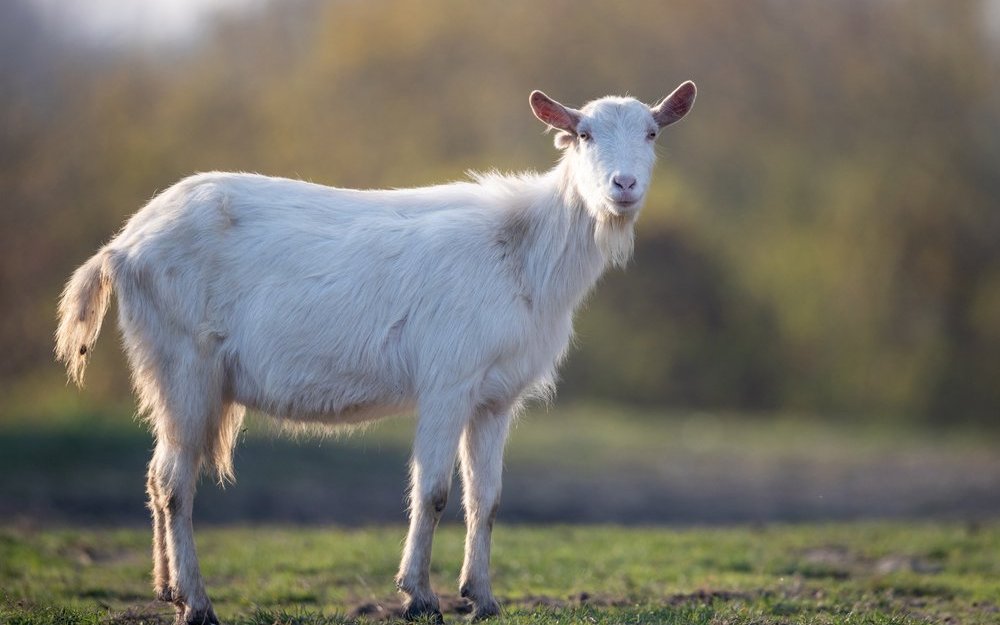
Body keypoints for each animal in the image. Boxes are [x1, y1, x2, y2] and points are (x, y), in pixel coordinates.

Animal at [55, 82, 696, 624]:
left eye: (652, 134)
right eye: (583, 133)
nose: (623, 185)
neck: (525, 252)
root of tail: (122, 246)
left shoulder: (495, 398)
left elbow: (485, 499)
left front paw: (482, 598)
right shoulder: (447, 381)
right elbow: (433, 492)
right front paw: (420, 597)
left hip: (167, 373)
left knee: (157, 473)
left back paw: (166, 588)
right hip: (182, 362)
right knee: (174, 482)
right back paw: (197, 603)